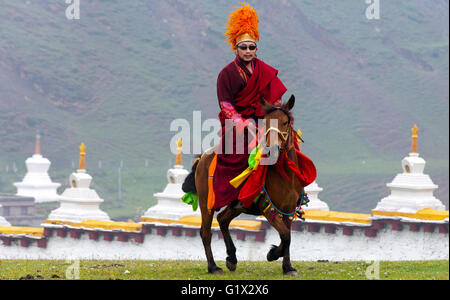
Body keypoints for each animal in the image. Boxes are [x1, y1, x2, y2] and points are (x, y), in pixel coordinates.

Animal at [195, 95, 304, 276]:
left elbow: (287, 237)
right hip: (206, 202)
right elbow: (285, 235)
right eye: (265, 122)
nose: (272, 149)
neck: (285, 176)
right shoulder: (268, 209)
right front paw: (272, 254)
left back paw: (231, 258)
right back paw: (213, 266)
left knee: (222, 219)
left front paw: (288, 267)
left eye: (285, 122)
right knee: (205, 232)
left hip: (237, 205)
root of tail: (203, 156)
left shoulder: (288, 210)